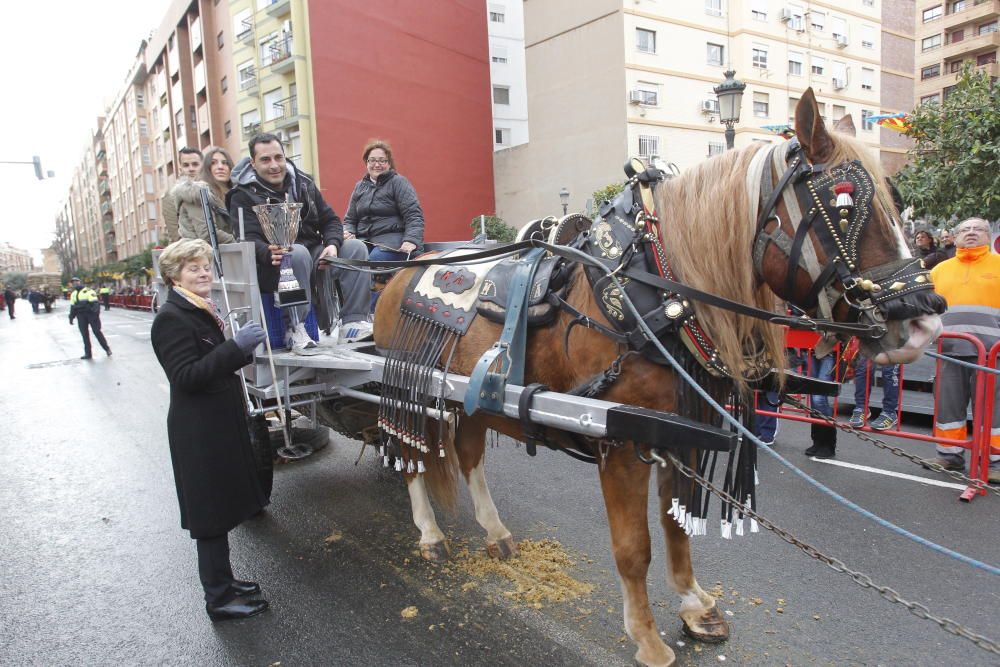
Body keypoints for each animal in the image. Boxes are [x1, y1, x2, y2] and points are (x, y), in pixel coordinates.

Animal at [372, 90, 940, 667]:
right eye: (843, 205)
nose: (923, 321)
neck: (657, 294)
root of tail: (400, 272)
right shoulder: (621, 444)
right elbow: (634, 547)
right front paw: (646, 636)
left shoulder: (679, 435)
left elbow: (675, 524)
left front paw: (694, 604)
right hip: (407, 383)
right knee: (412, 453)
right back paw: (429, 533)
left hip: (465, 395)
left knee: (467, 455)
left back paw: (495, 531)